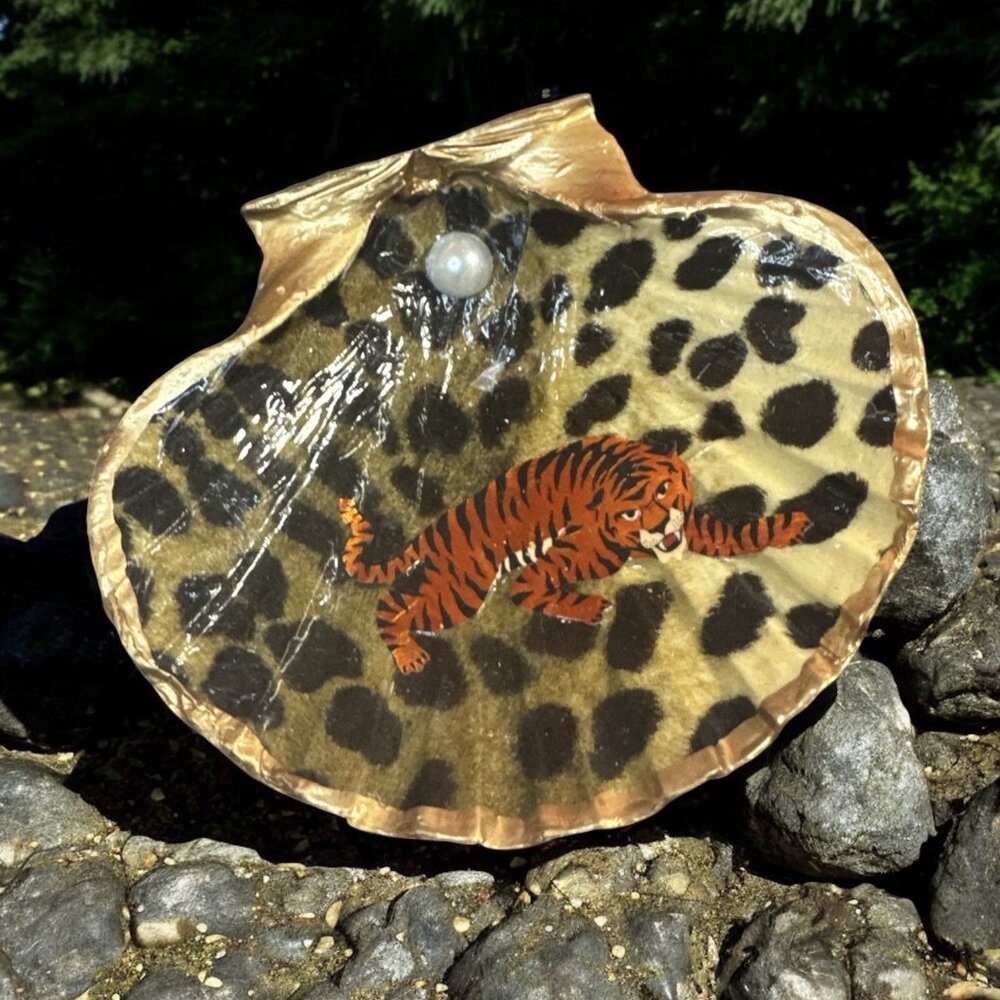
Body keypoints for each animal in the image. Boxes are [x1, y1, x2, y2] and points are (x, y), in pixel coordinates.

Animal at [338, 434, 811, 673]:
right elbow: (532, 592)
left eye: (663, 490)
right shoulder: (551, 565)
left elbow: (739, 534)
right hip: (465, 588)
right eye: (632, 511)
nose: (660, 525)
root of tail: (434, 530)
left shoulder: (689, 522)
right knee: (390, 606)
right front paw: (591, 609)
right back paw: (408, 655)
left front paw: (791, 525)